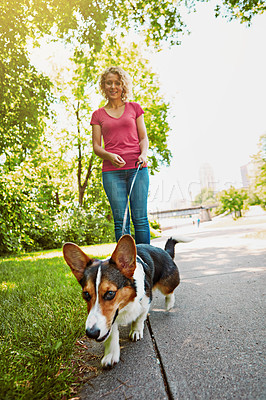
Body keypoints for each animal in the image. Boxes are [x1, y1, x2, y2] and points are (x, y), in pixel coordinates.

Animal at [63, 234, 186, 368]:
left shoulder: (145, 301)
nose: (91, 333)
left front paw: (136, 331)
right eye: (86, 294)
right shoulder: (111, 318)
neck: (125, 305)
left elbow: (139, 318)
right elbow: (111, 334)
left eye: (110, 293)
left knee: (169, 292)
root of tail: (164, 251)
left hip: (166, 284)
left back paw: (169, 304)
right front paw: (111, 354)